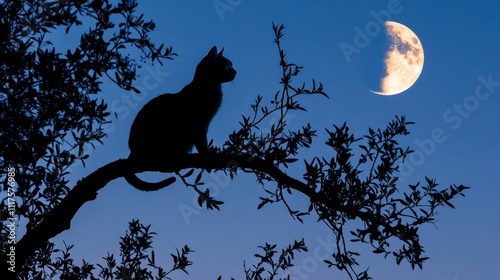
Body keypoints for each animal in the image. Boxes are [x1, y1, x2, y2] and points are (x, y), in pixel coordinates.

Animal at [124, 46, 235, 190]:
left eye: (231, 65)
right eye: (227, 66)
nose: (235, 71)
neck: (208, 86)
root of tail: (132, 151)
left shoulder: (205, 124)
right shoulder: (199, 124)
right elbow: (202, 143)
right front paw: (207, 156)